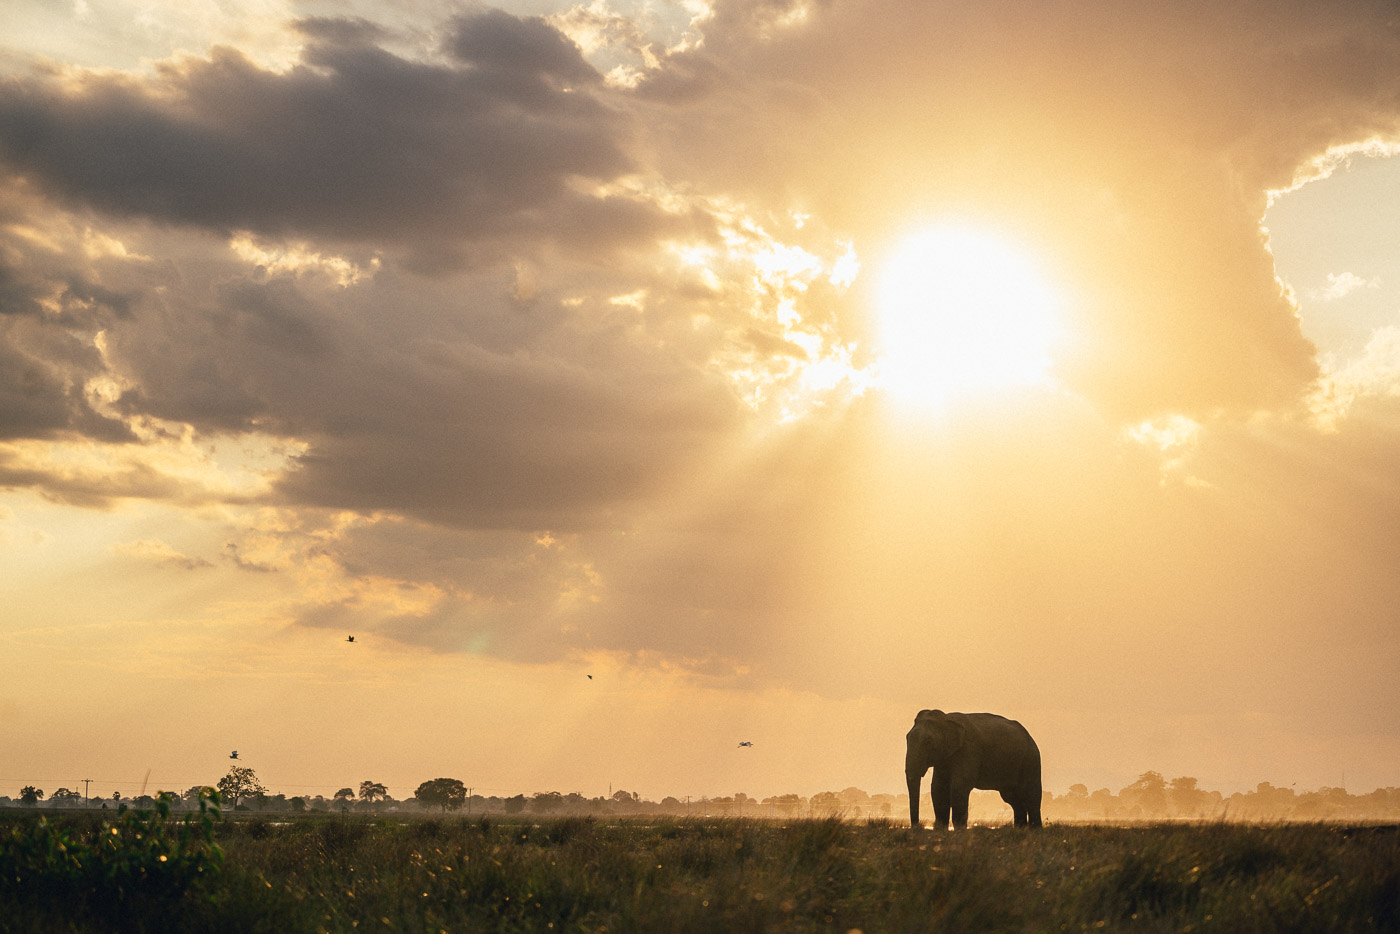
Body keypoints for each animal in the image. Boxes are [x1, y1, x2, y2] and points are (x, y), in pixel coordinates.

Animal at [907, 708, 1041, 834]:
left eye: (928, 741)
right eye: (907, 738)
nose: (917, 827)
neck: (946, 718)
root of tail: (1030, 737)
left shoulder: (969, 749)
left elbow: (959, 786)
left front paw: (960, 831)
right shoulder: (944, 758)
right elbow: (938, 788)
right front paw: (940, 831)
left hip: (1031, 760)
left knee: (1032, 796)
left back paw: (1036, 831)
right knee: (1013, 799)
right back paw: (1020, 829)